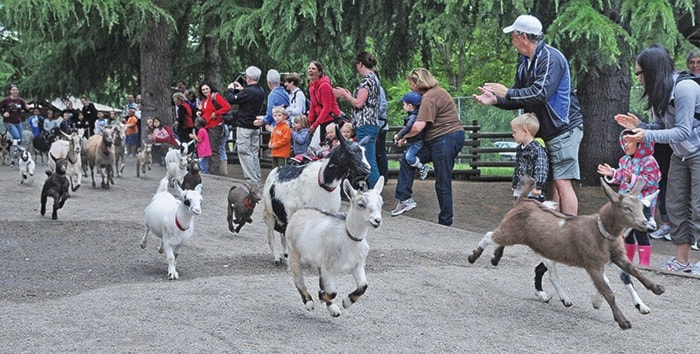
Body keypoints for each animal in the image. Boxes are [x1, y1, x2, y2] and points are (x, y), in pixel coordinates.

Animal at [262, 127, 372, 262]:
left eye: (364, 151)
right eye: (351, 151)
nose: (367, 168)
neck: (323, 180)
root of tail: (276, 170)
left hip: (283, 214)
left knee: (284, 233)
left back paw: (286, 254)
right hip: (269, 213)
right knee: (270, 235)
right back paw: (277, 257)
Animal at [284, 176, 382, 316]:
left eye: (381, 203)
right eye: (361, 204)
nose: (377, 221)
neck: (348, 239)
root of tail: (297, 213)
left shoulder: (357, 265)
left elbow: (363, 286)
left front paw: (346, 302)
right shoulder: (328, 269)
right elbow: (333, 292)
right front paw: (321, 297)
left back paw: (332, 309)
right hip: (294, 252)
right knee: (297, 278)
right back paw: (309, 302)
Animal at [468, 176, 664, 330]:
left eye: (641, 207)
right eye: (626, 208)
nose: (646, 224)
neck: (599, 230)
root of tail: (524, 200)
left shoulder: (617, 257)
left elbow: (634, 271)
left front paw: (656, 289)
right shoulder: (593, 264)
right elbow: (608, 291)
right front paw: (623, 322)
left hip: (528, 241)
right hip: (513, 233)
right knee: (489, 236)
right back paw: (473, 256)